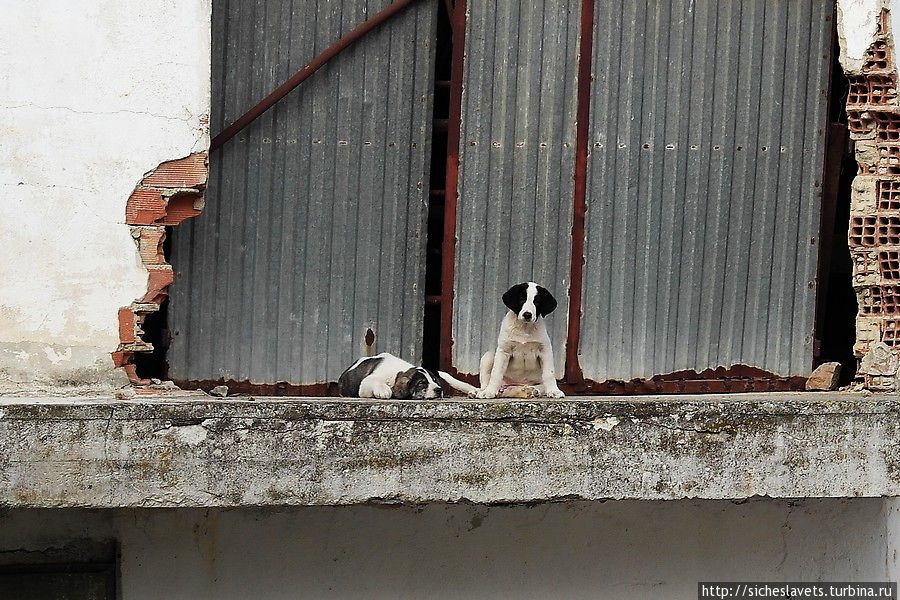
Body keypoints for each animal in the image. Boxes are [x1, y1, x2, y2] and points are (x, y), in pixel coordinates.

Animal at [338, 352, 478, 398]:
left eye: (434, 380)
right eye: (421, 383)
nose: (439, 390)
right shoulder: (365, 385)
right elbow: (374, 381)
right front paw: (384, 391)